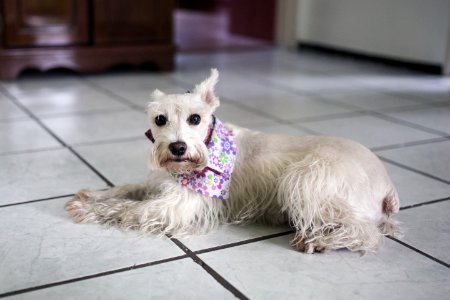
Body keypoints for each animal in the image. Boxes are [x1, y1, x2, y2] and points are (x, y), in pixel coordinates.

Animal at [65, 68, 400, 253]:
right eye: (159, 119)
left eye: (195, 118)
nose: (177, 147)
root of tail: (388, 185)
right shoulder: (160, 184)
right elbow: (127, 190)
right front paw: (91, 195)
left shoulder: (176, 205)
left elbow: (129, 209)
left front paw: (88, 209)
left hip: (305, 181)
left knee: (365, 233)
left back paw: (320, 241)